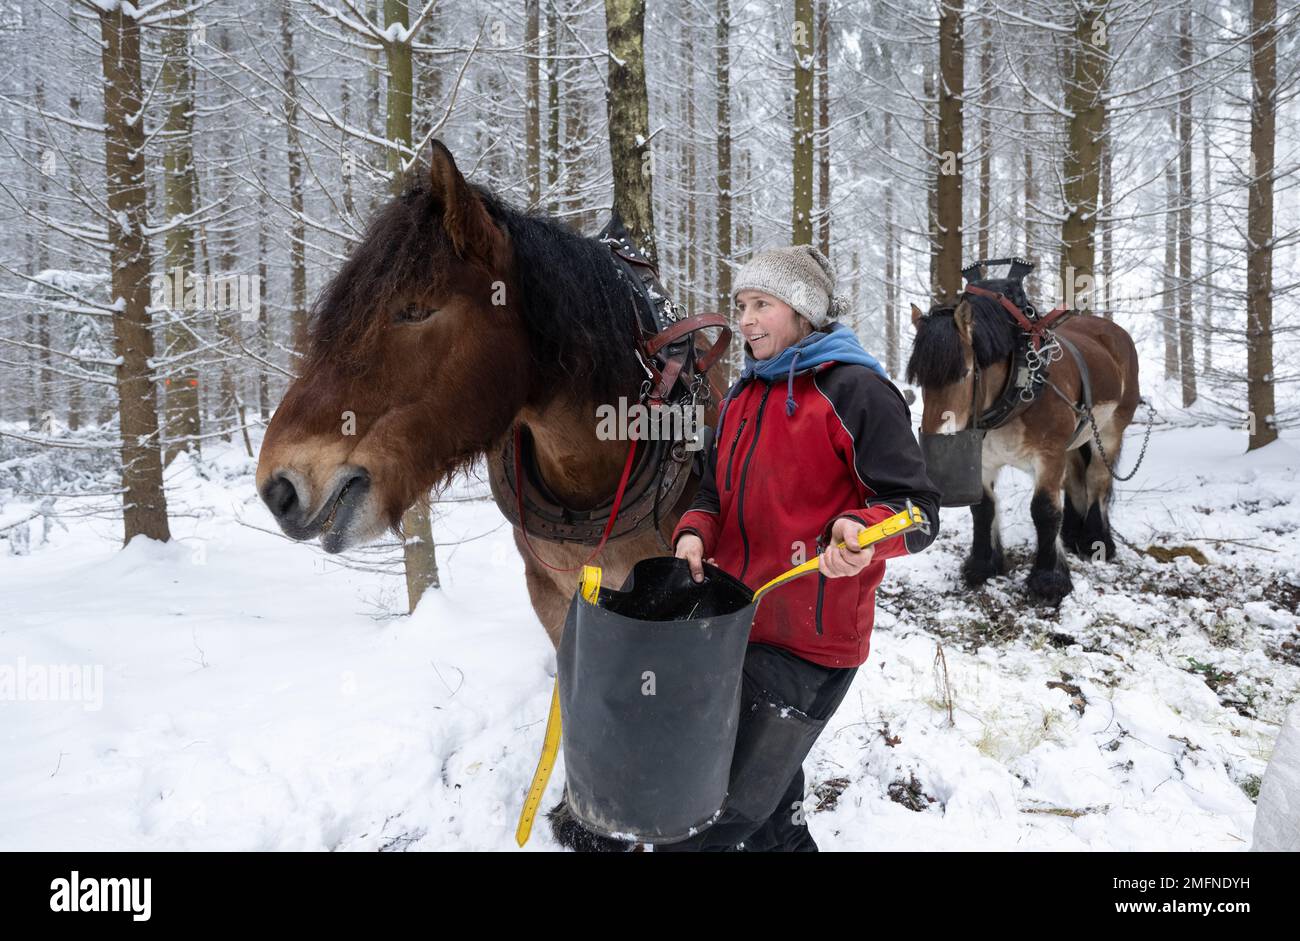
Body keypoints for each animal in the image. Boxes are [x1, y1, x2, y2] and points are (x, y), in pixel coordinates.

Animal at [904, 289, 1138, 605]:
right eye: (920, 379)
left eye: (964, 372)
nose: (935, 440)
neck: (1018, 387)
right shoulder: (985, 460)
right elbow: (983, 508)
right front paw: (982, 566)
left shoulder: (1049, 455)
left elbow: (1044, 510)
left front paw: (1049, 579)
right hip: (1076, 441)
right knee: (1076, 479)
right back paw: (1071, 536)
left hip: (1111, 430)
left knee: (1096, 480)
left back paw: (1095, 542)